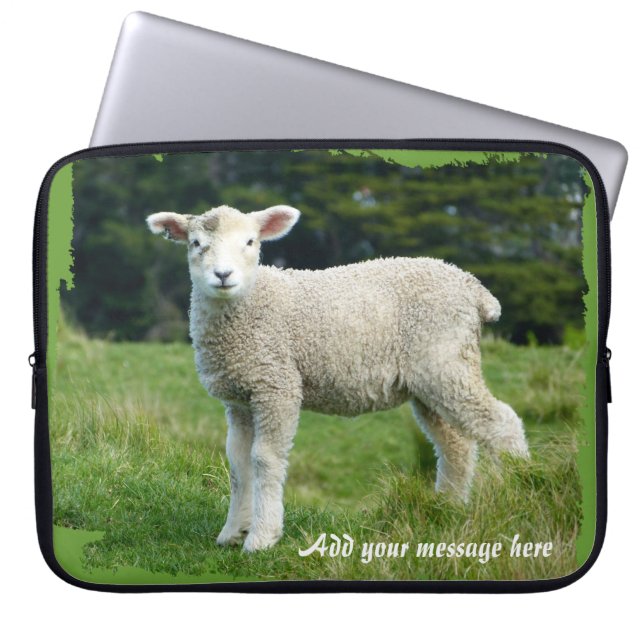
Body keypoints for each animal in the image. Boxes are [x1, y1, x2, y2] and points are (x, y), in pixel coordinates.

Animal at [147, 204, 529, 552]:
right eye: (196, 243)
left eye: (250, 242)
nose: (223, 275)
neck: (251, 303)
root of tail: (473, 288)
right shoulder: (240, 397)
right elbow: (238, 463)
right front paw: (232, 532)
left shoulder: (276, 385)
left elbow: (264, 459)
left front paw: (261, 537)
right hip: (431, 378)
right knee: (455, 444)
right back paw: (447, 509)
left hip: (446, 361)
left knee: (501, 422)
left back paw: (521, 490)